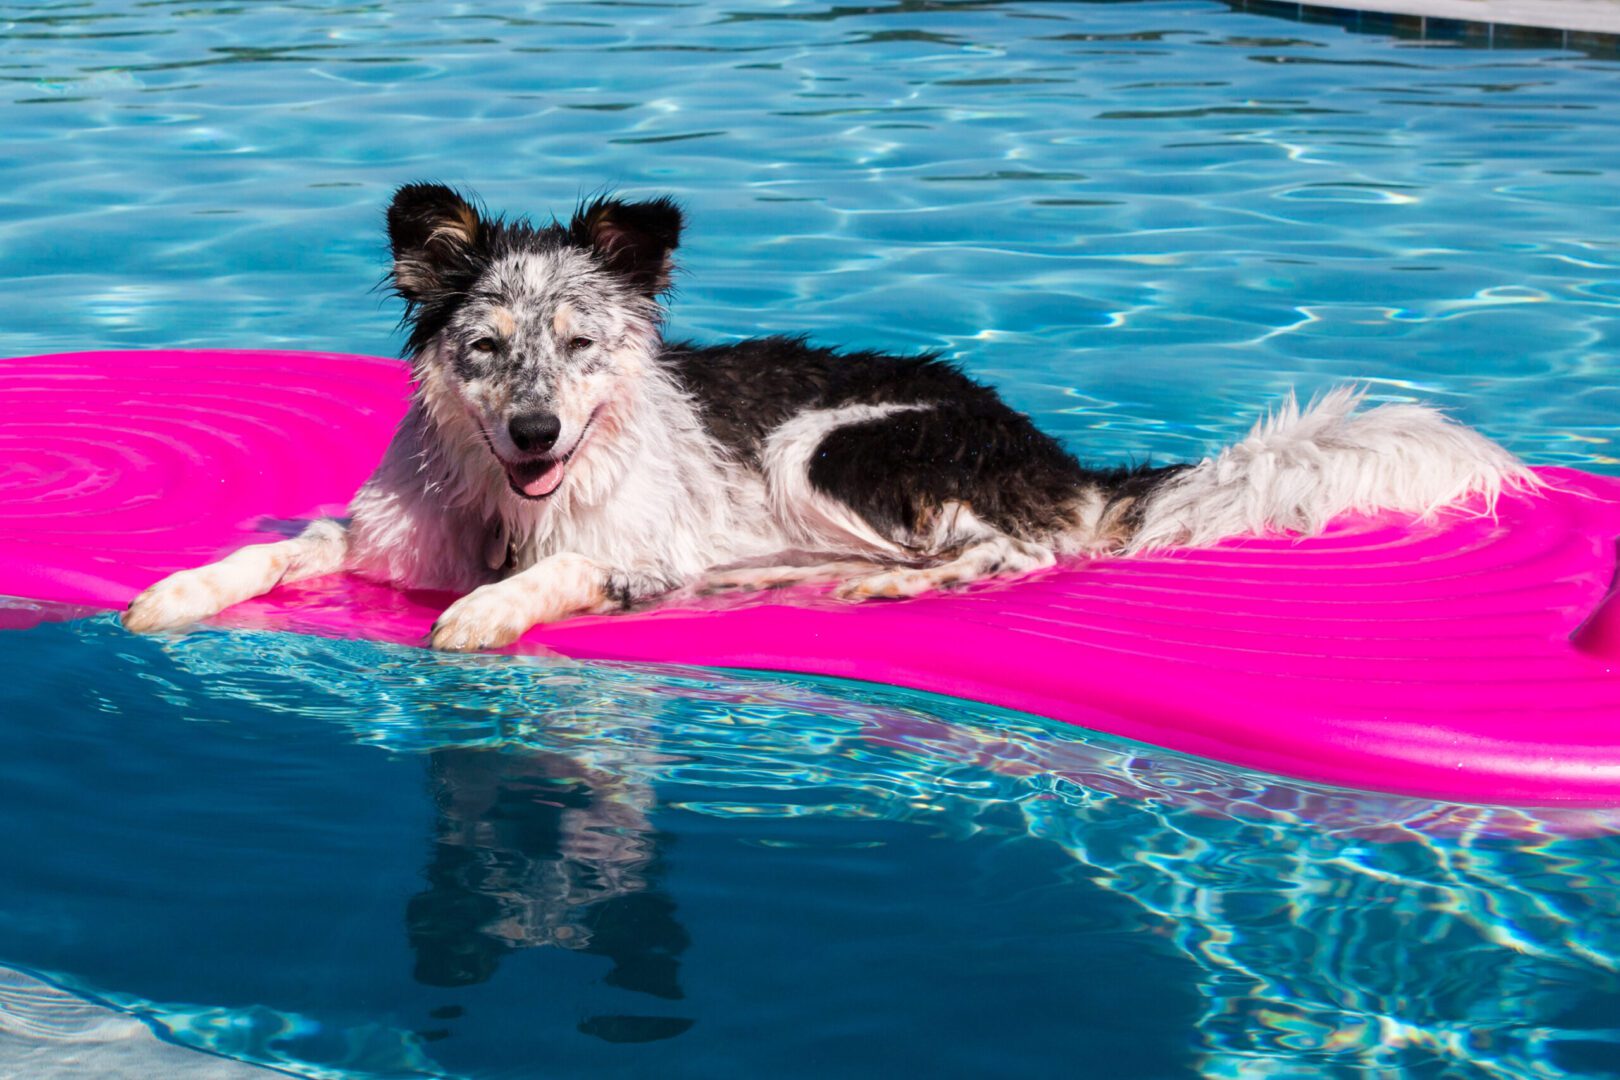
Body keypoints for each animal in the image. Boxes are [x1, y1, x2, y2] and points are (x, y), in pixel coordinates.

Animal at [123, 186, 1529, 650]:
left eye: (582, 346)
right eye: (487, 348)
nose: (533, 437)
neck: (509, 505)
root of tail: (1055, 455)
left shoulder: (635, 553)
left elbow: (557, 574)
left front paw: (487, 612)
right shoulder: (382, 535)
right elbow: (273, 551)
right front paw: (178, 589)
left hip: (834, 443)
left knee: (1019, 553)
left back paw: (882, 585)